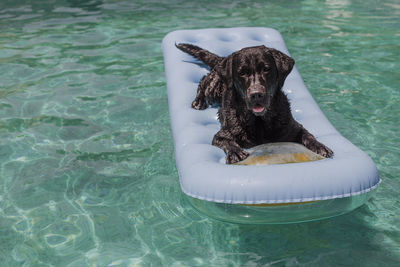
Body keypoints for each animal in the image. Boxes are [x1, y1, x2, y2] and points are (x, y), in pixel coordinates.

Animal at [177, 43, 332, 164]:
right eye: (242, 73)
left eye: (266, 69)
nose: (256, 94)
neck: (259, 121)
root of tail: (222, 59)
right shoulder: (221, 135)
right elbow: (228, 142)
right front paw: (235, 152)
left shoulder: (294, 127)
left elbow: (308, 135)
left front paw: (320, 146)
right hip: (213, 87)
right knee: (203, 82)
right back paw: (198, 101)